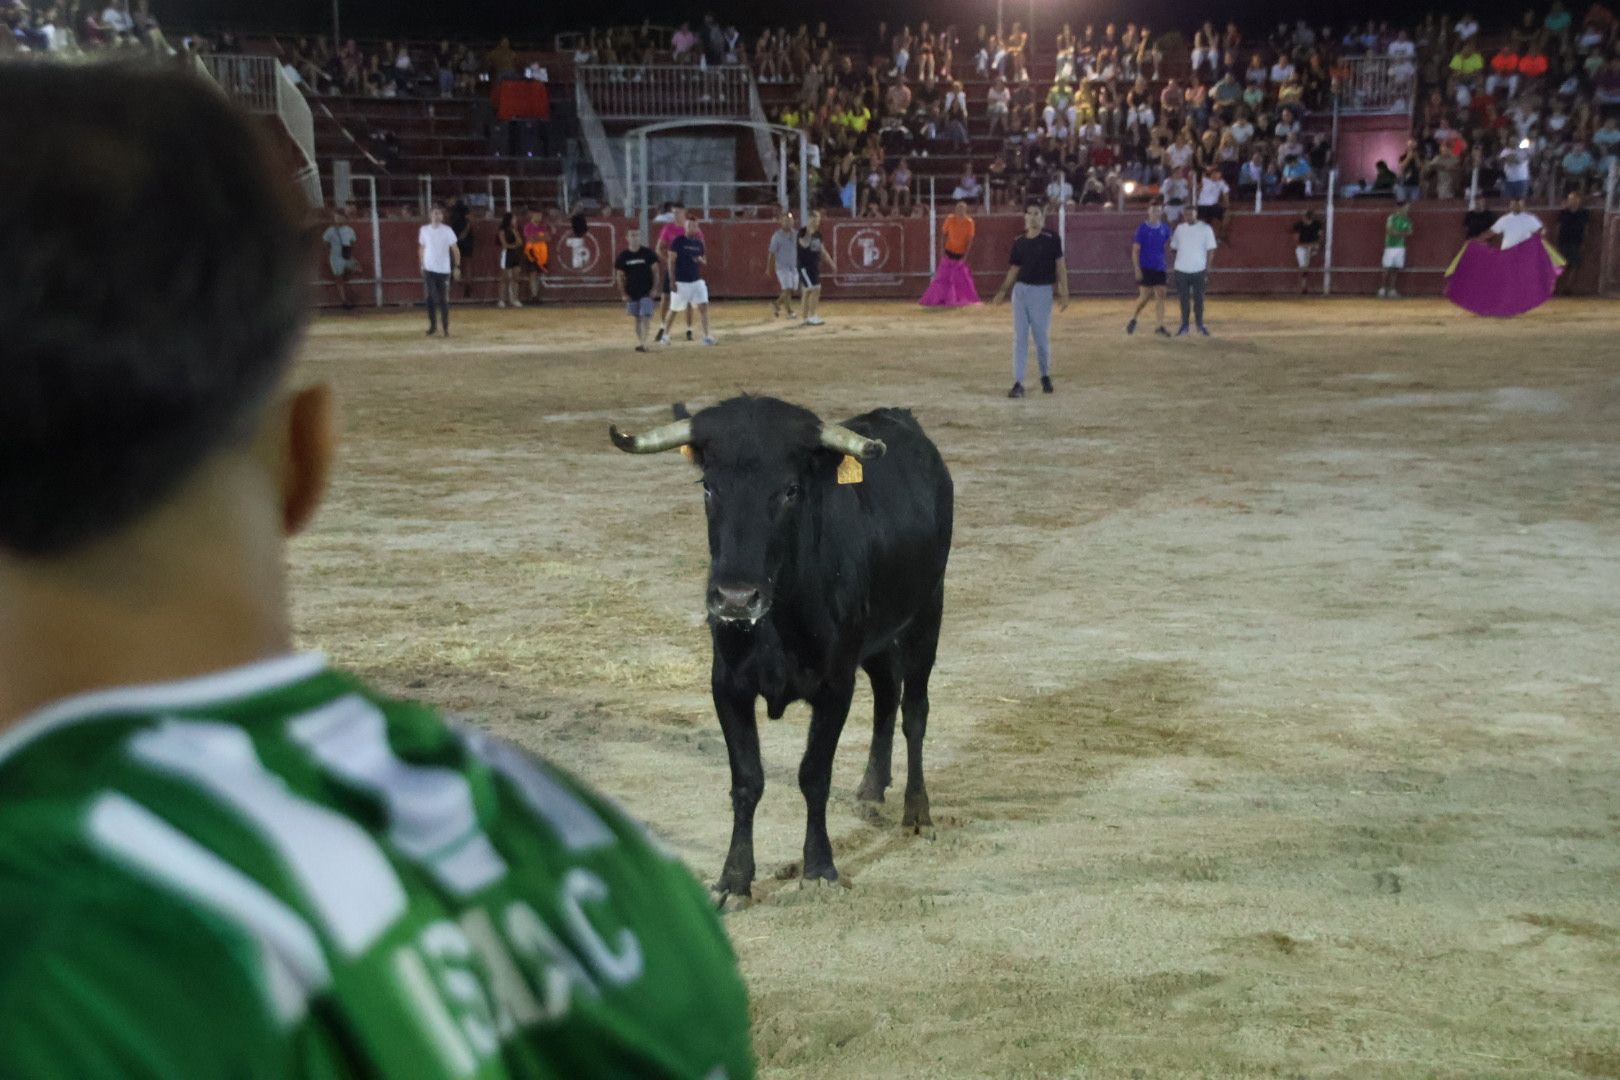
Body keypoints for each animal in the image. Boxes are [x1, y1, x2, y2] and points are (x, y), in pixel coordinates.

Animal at [612, 396, 952, 906]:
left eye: (791, 490)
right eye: (708, 486)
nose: (735, 599)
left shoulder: (835, 686)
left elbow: (813, 774)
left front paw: (819, 868)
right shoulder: (727, 686)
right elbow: (747, 780)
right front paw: (734, 879)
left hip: (927, 613)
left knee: (914, 711)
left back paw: (917, 813)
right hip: (875, 638)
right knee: (887, 693)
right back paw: (872, 788)